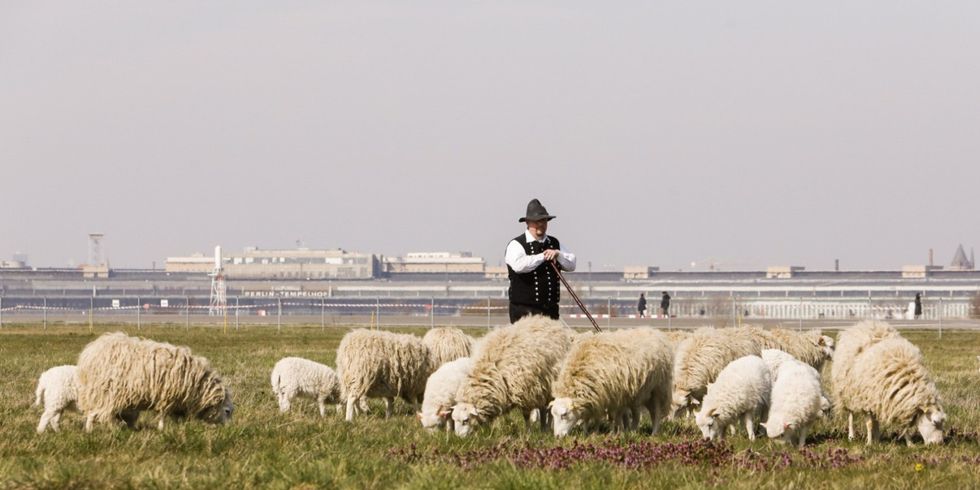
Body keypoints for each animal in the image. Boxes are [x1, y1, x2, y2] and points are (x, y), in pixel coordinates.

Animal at [77, 332, 233, 431]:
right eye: (227, 411)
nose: (228, 430)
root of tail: (90, 353)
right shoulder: (167, 396)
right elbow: (163, 414)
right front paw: (162, 429)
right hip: (107, 392)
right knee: (99, 413)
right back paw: (99, 430)